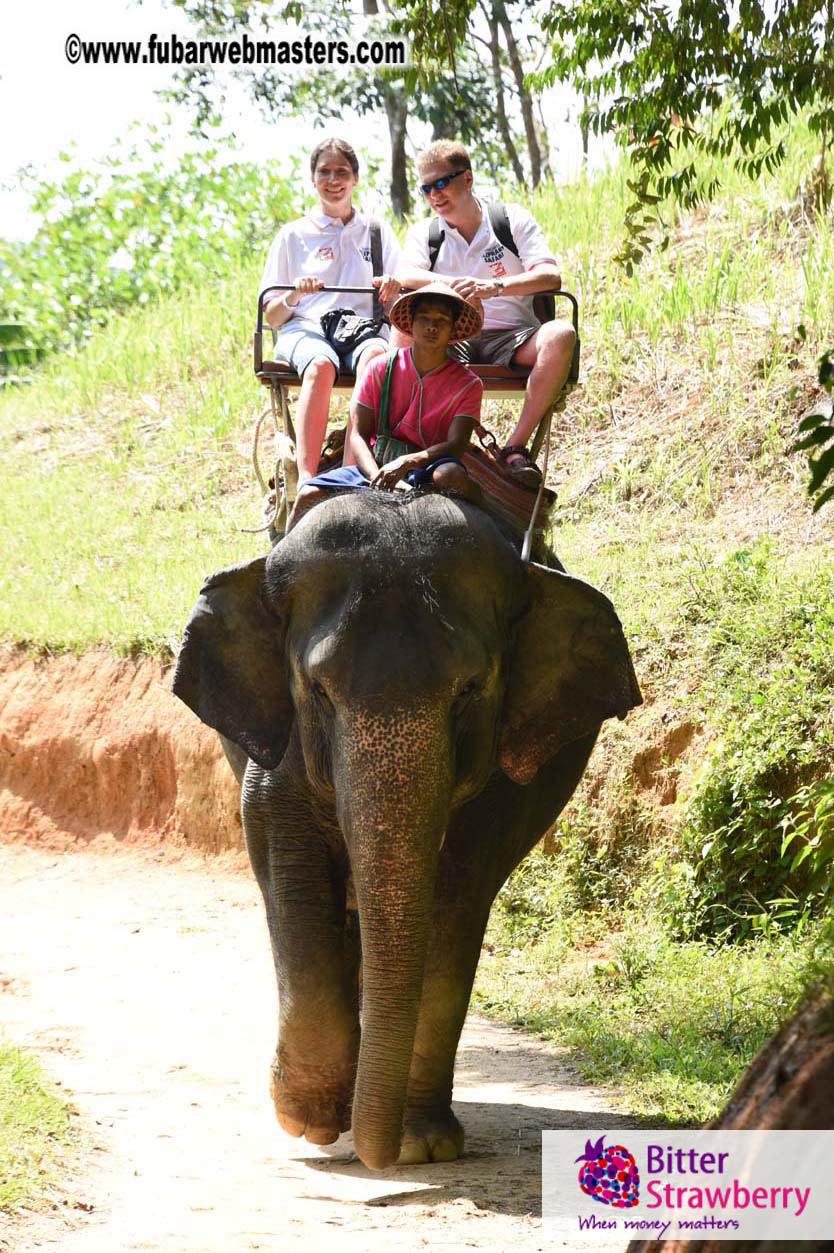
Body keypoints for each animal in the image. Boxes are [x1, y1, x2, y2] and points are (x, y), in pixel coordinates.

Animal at [173, 489, 641, 1171]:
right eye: (318, 690)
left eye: (470, 690)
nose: (382, 1153)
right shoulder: (277, 744)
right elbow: (286, 860)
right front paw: (309, 1121)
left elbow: (458, 893)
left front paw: (421, 1146)